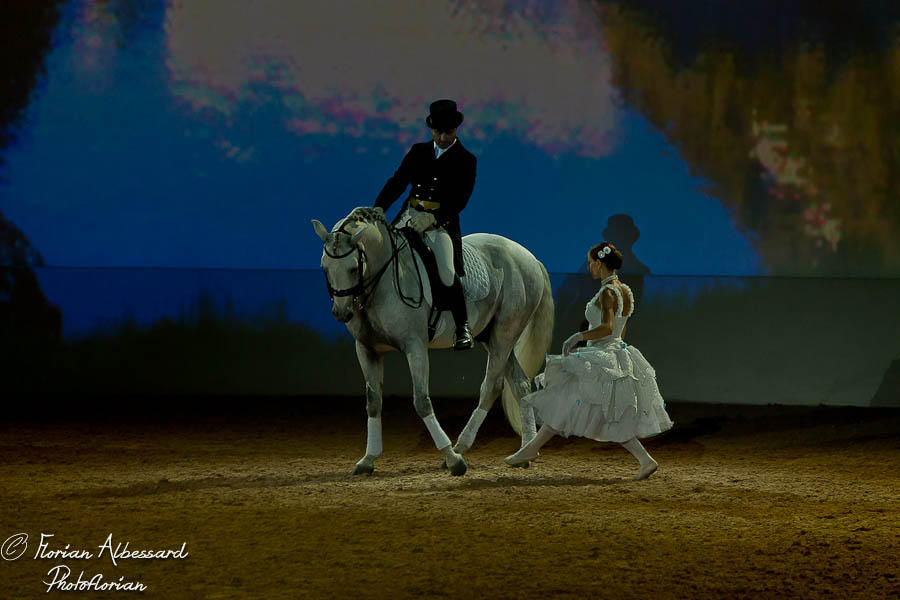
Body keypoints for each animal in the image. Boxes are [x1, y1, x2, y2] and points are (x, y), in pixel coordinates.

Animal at [312, 206, 554, 476]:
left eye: (353, 268)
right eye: (324, 267)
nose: (341, 313)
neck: (380, 282)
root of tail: (530, 257)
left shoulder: (414, 346)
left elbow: (421, 401)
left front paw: (452, 459)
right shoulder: (367, 350)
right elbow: (373, 401)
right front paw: (368, 459)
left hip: (505, 333)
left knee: (491, 386)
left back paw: (461, 447)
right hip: (491, 337)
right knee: (520, 383)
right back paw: (524, 452)